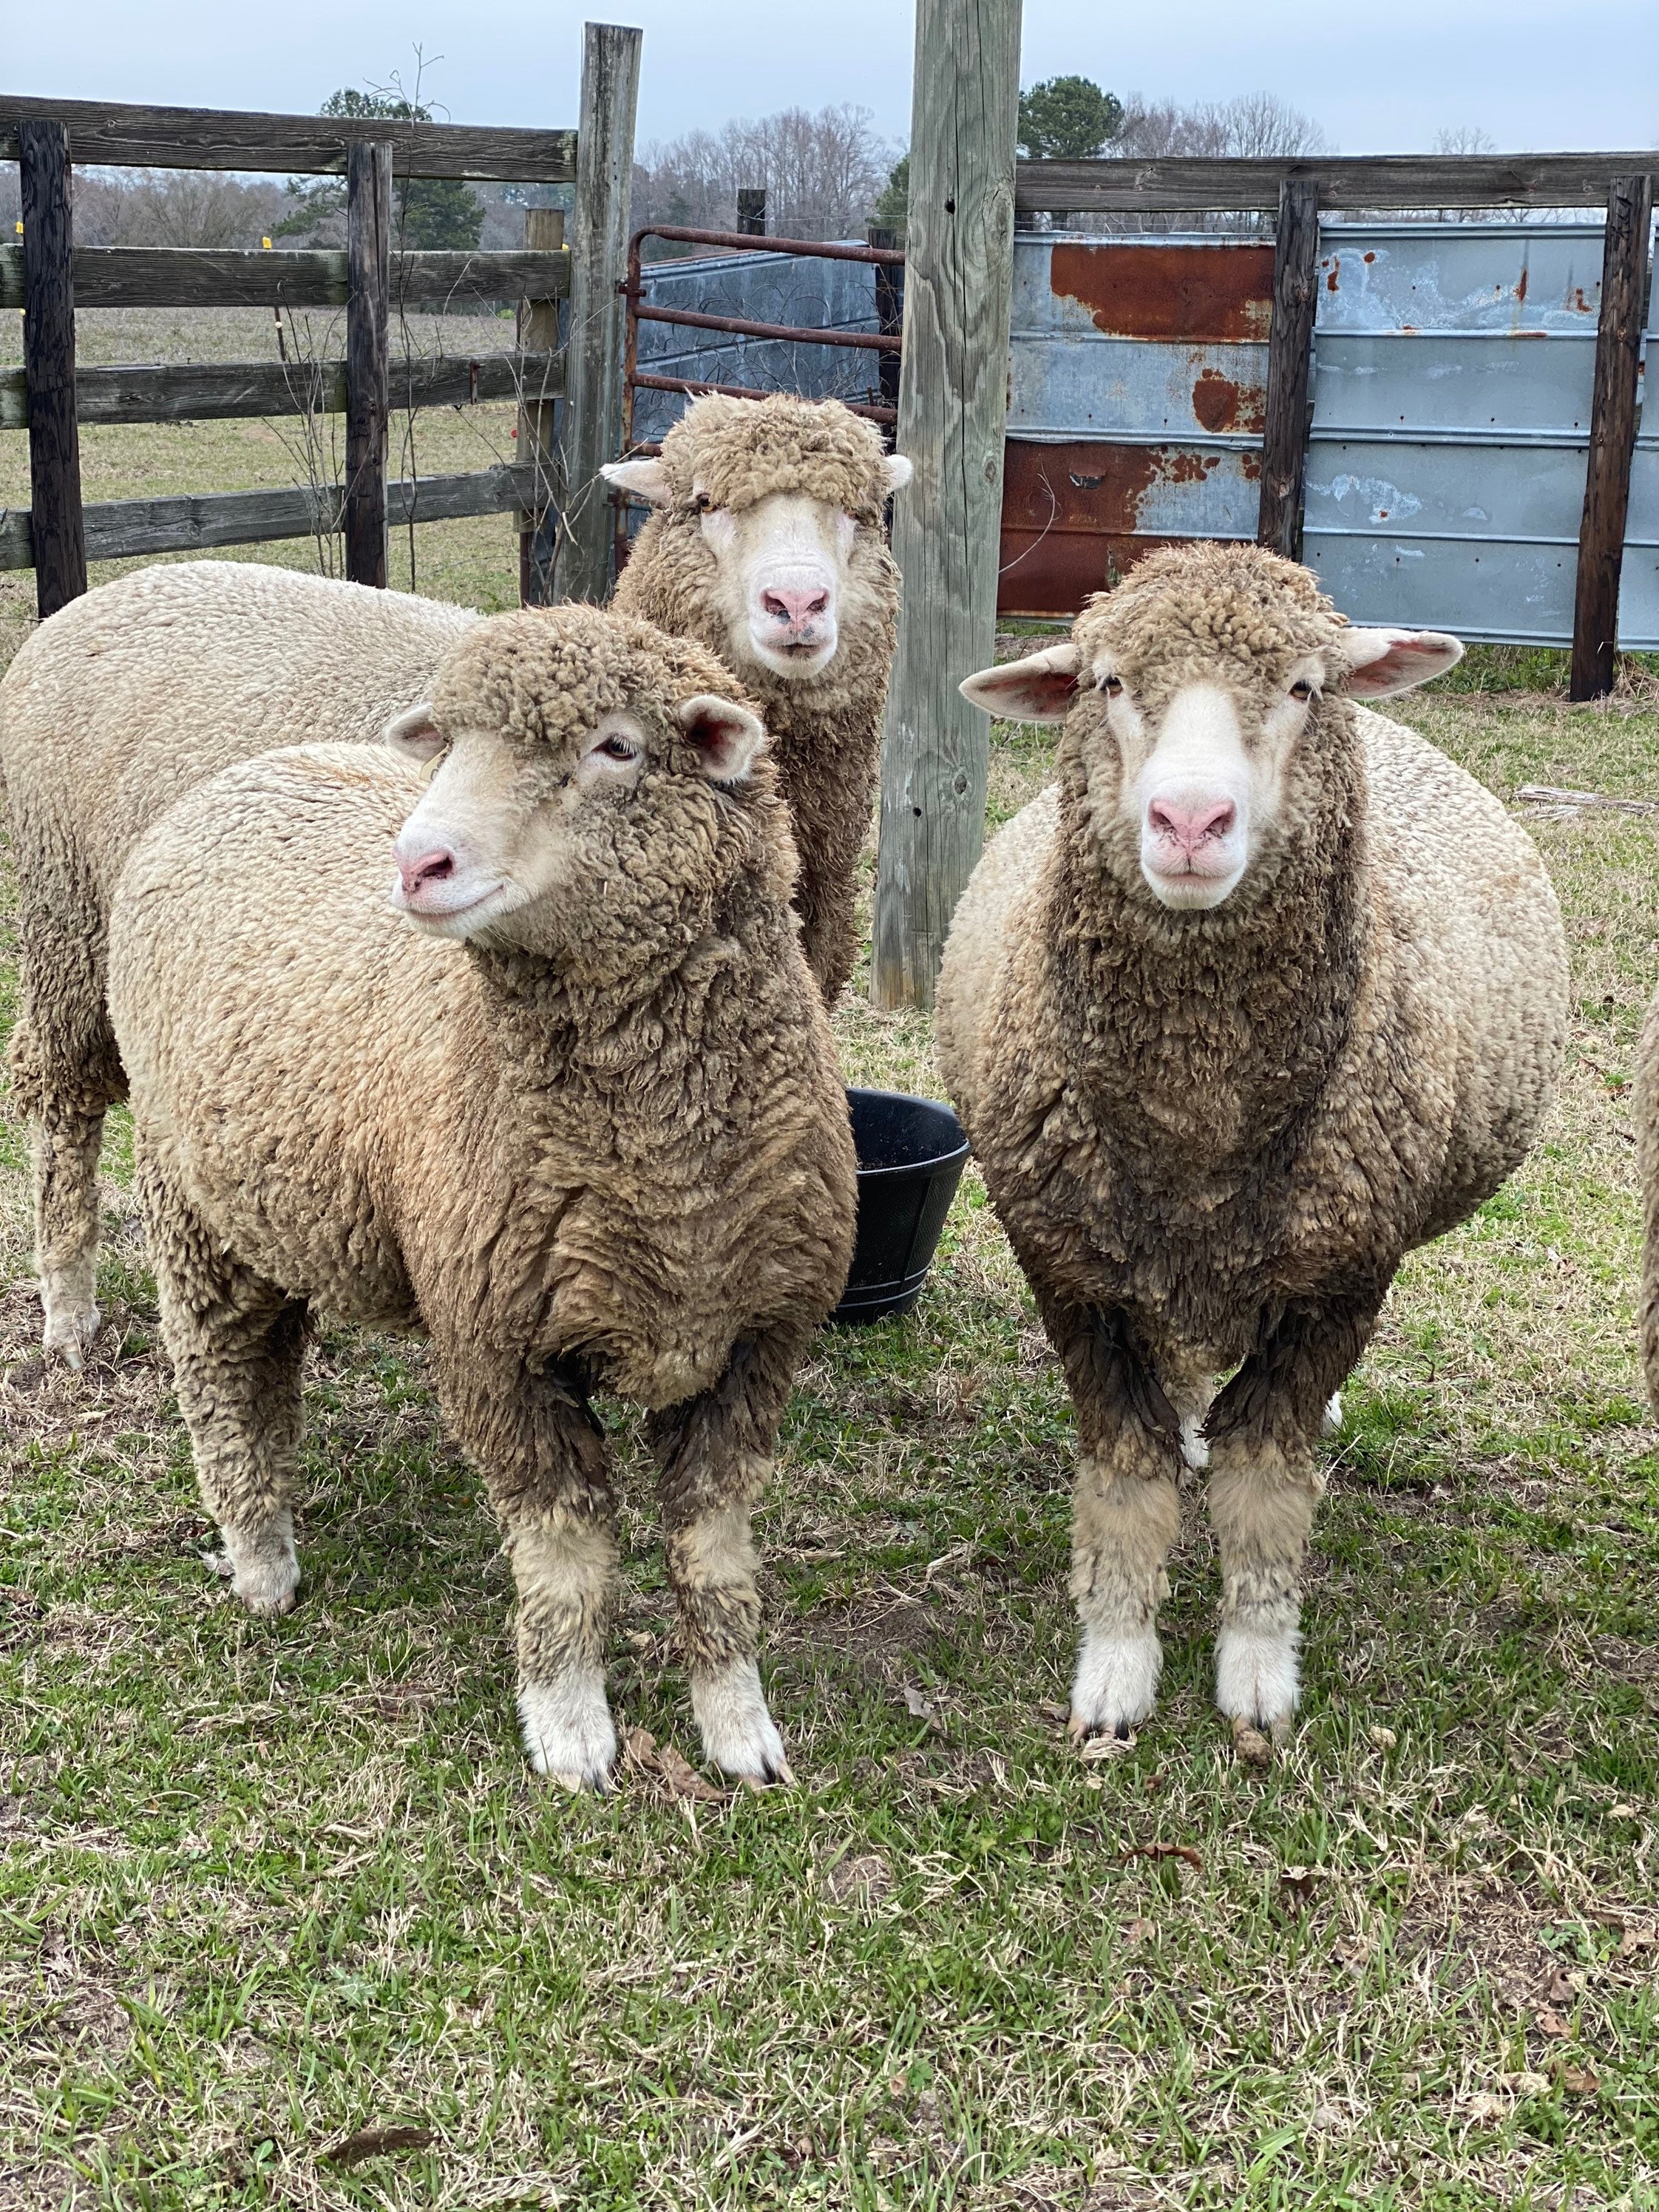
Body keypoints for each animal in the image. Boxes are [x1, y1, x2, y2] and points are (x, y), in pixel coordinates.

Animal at [102, 604, 857, 1789]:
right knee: (219, 1371)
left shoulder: (756, 1341)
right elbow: (565, 1548)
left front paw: (738, 1725)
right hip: (189, 1203)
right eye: (448, 745)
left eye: (616, 747)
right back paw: (260, 1558)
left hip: (285, 1203)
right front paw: (570, 1727)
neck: (666, 1179)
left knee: (269, 1360)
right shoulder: (497, 1343)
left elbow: (713, 1548)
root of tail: (239, 774)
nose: (418, 862)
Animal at [936, 543, 1567, 1750]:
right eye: (1108, 683)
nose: (1191, 822)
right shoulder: (1071, 1275)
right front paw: (1116, 1666)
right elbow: (1126, 1477)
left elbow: (1268, 1484)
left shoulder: (1342, 1276)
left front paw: (1258, 1672)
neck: (1198, 1133)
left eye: (1305, 689)